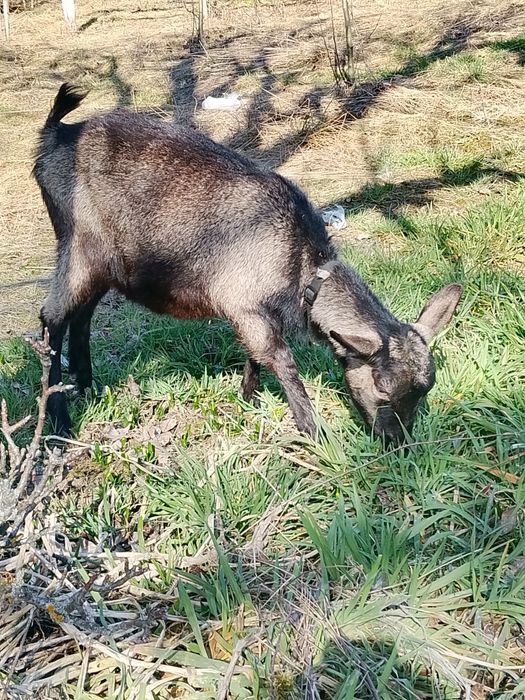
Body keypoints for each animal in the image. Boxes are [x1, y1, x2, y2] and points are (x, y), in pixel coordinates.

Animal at [33, 84, 463, 443]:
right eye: (383, 391)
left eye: (426, 390)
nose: (396, 442)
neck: (299, 263)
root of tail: (56, 136)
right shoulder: (244, 303)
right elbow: (280, 359)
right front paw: (313, 430)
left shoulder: (251, 312)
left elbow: (255, 356)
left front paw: (248, 398)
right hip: (79, 245)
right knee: (52, 317)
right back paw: (59, 423)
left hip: (105, 266)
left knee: (81, 315)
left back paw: (86, 384)